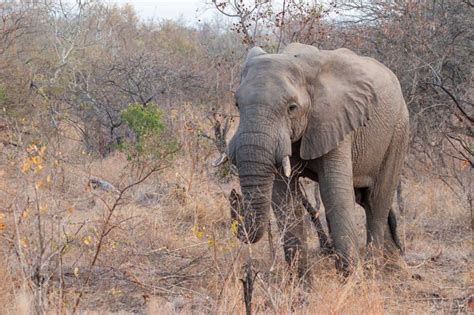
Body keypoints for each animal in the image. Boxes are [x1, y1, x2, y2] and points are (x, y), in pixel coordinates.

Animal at [217, 42, 410, 282]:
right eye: (237, 104)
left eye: (292, 108)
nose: (234, 197)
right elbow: (283, 197)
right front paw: (301, 284)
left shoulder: (335, 118)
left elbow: (334, 193)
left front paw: (351, 283)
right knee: (364, 199)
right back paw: (393, 264)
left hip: (398, 131)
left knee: (377, 200)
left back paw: (375, 270)